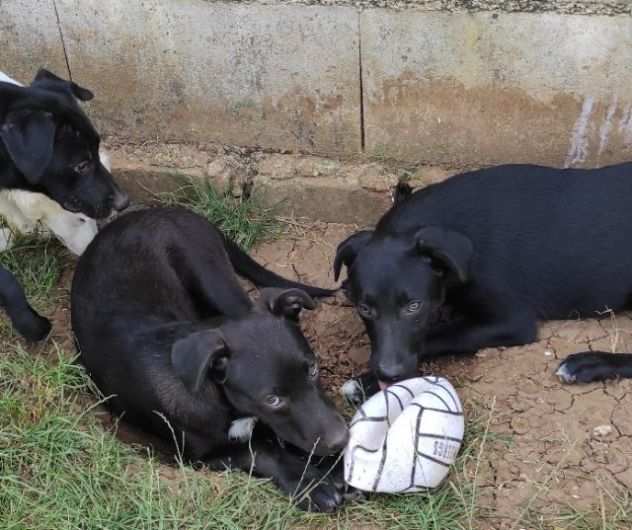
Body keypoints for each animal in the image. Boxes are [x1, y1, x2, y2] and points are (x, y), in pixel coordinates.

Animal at [73, 207, 348, 512]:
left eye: (313, 369)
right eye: (272, 399)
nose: (341, 439)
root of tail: (162, 209)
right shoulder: (204, 457)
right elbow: (261, 450)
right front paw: (312, 484)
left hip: (213, 280)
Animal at [336, 163, 632, 390]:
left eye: (414, 306)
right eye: (364, 308)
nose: (389, 373)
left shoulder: (513, 321)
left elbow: (438, 335)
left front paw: (366, 381)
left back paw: (588, 364)